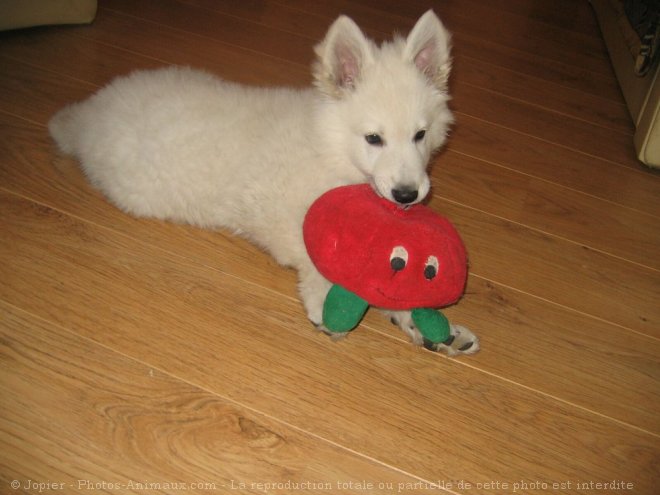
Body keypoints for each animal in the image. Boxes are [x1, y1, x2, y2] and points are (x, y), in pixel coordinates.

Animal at [49, 9, 476, 354]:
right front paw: (328, 300)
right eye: (374, 138)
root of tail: (89, 114)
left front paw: (431, 325)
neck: (330, 145)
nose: (407, 195)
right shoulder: (278, 212)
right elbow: (323, 259)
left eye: (420, 135)